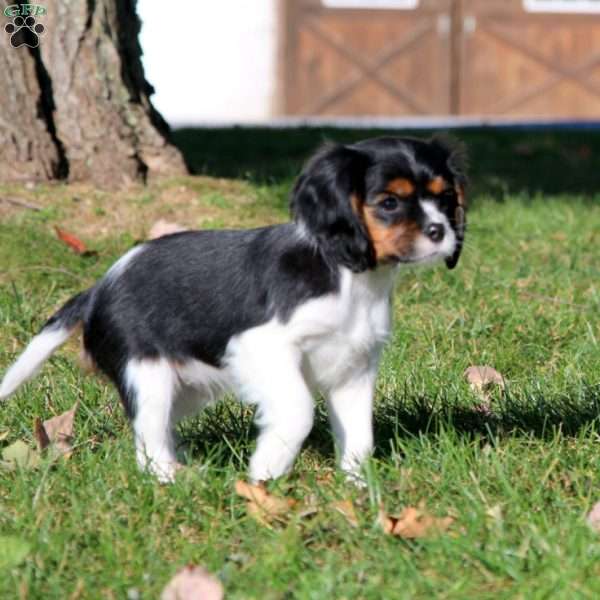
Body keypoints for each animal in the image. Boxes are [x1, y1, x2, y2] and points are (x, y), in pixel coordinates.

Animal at [0, 136, 466, 482]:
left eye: (446, 199)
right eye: (390, 203)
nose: (439, 231)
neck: (351, 276)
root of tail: (96, 288)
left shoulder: (354, 365)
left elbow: (359, 434)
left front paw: (358, 487)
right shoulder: (263, 347)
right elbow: (298, 411)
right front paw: (266, 472)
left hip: (187, 387)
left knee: (161, 429)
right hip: (147, 374)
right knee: (148, 441)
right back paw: (173, 480)